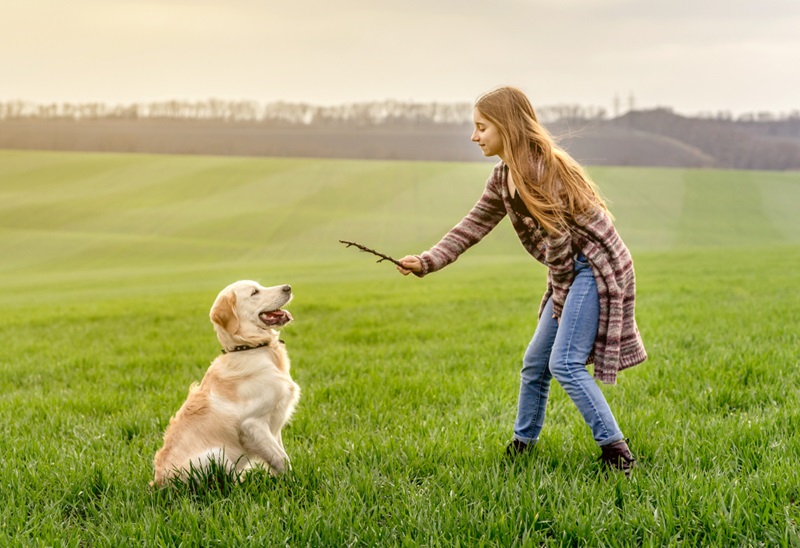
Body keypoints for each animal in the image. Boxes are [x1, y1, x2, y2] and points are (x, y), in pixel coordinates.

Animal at [152, 280, 300, 486]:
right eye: (255, 292)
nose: (288, 287)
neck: (248, 347)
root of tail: (158, 484)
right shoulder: (252, 424)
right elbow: (282, 459)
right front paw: (295, 485)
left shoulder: (274, 423)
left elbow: (280, 456)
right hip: (216, 454)